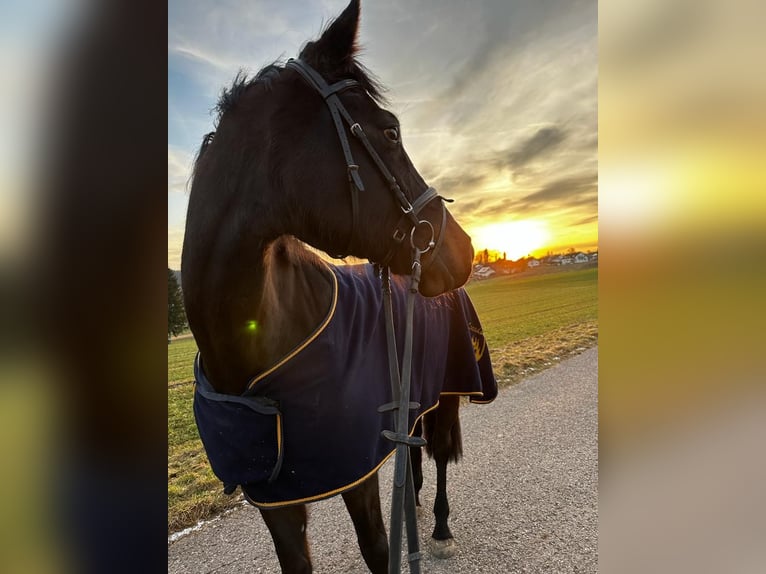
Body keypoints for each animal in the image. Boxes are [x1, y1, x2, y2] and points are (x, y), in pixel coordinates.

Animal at [184, 2, 498, 572]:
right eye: (391, 132)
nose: (462, 250)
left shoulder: (357, 477)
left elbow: (378, 549)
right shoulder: (279, 502)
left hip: (448, 395)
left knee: (440, 453)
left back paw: (439, 526)